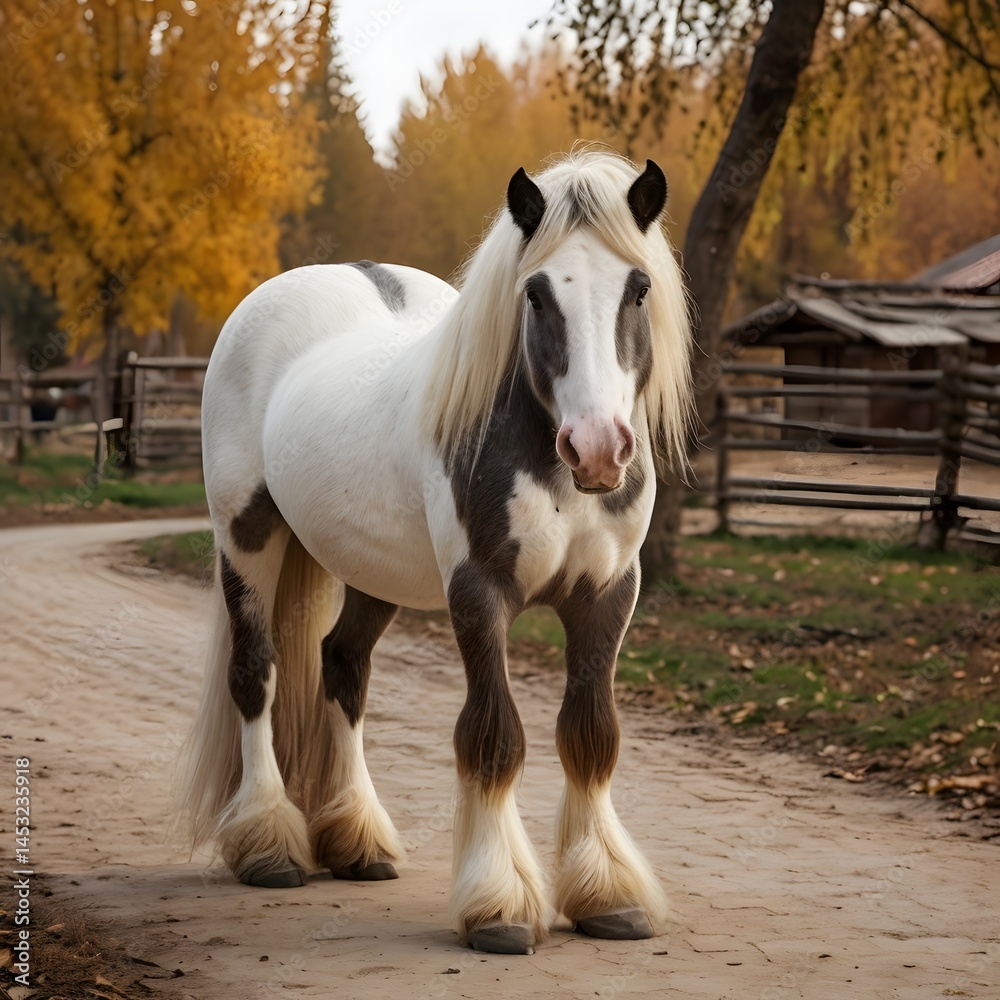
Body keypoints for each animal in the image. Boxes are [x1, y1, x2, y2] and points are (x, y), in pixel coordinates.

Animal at [180, 149, 693, 956]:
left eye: (638, 288)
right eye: (536, 294)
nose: (597, 448)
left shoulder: (607, 595)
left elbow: (591, 736)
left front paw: (608, 894)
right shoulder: (478, 593)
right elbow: (494, 737)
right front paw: (500, 904)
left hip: (369, 572)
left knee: (342, 668)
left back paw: (357, 840)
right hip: (246, 538)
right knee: (255, 674)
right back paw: (268, 845)